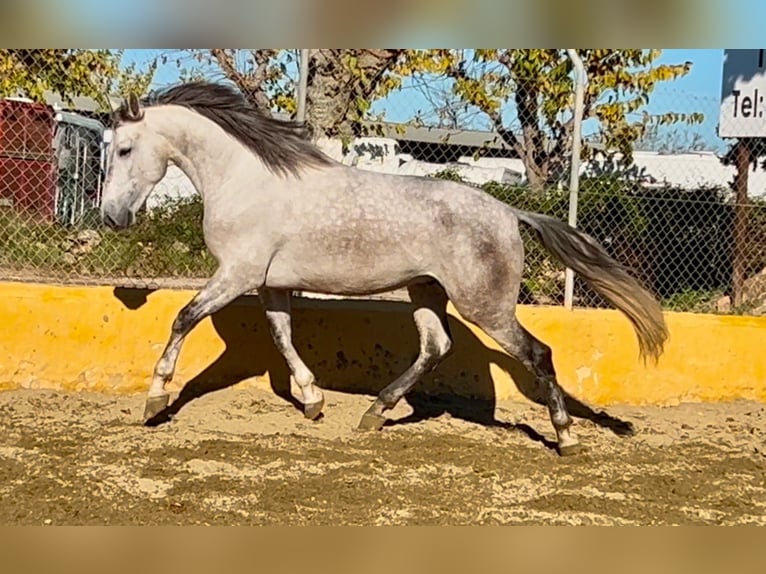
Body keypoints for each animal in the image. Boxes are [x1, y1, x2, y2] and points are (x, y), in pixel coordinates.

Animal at [100, 82, 664, 460]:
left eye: (125, 148)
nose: (111, 216)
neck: (247, 181)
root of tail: (509, 213)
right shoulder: (271, 285)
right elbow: (282, 337)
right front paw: (313, 401)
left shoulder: (237, 275)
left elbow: (183, 318)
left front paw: (155, 401)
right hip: (426, 292)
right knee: (437, 347)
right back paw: (374, 414)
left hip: (485, 306)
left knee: (538, 353)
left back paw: (565, 438)